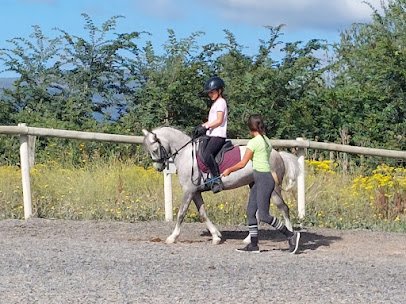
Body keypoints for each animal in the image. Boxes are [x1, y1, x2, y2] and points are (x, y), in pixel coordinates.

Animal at [141, 126, 300, 245]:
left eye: (154, 150)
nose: (158, 167)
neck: (186, 154)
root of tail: (278, 155)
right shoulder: (196, 192)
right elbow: (203, 214)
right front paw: (216, 236)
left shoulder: (188, 190)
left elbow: (181, 213)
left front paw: (172, 237)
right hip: (255, 185)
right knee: (260, 213)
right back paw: (248, 239)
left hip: (273, 189)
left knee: (283, 208)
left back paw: (291, 235)